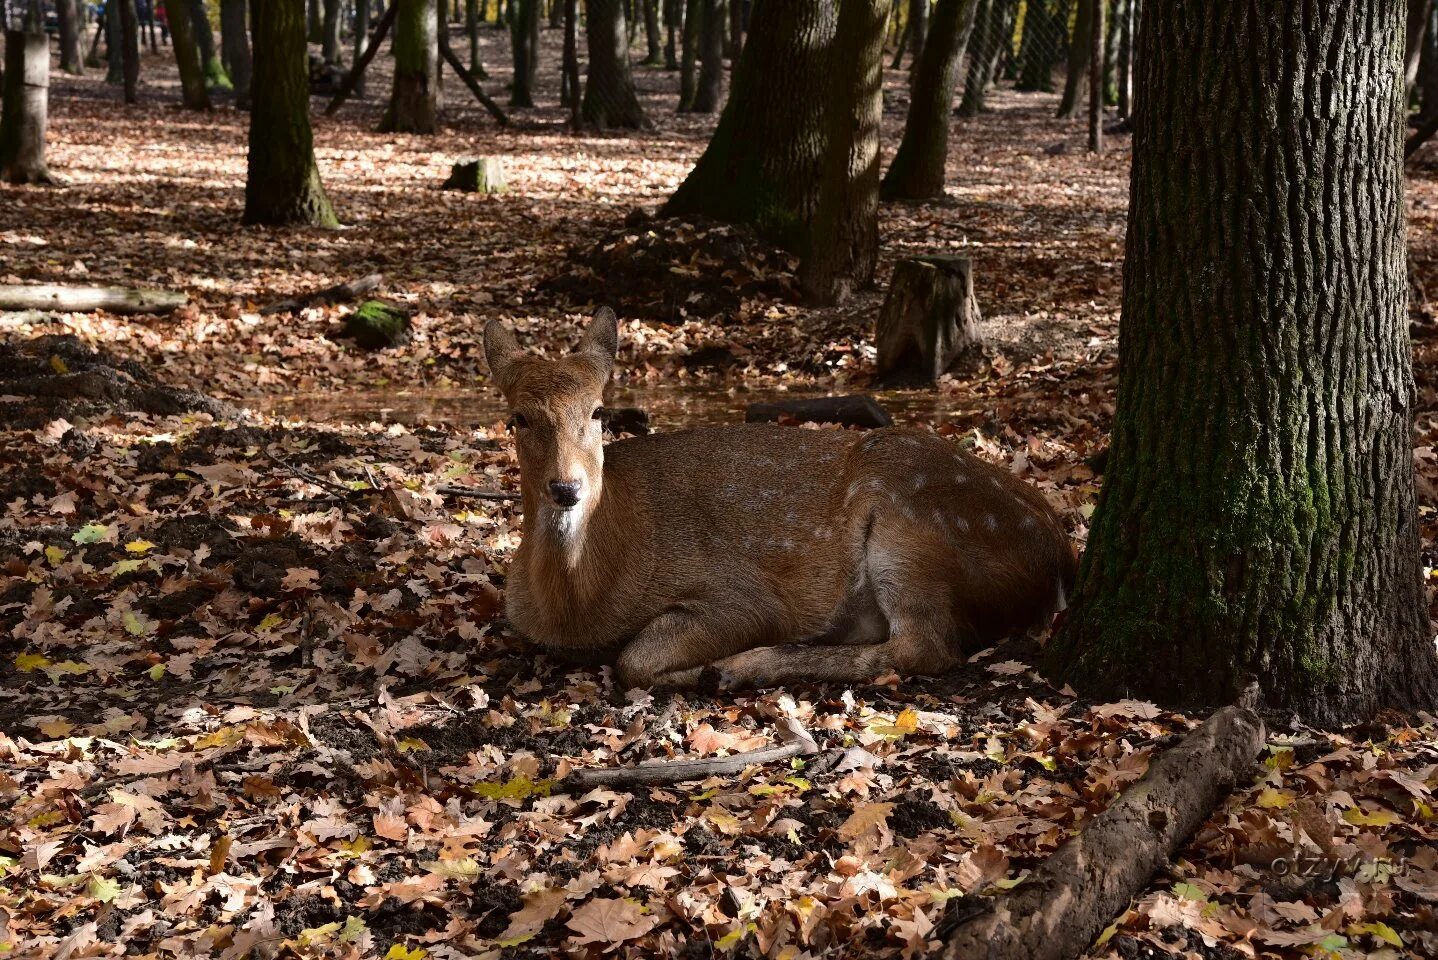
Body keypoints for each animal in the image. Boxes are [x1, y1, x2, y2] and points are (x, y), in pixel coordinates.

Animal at [486, 311, 1081, 692]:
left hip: (913, 526)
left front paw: (700, 671)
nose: (566, 488)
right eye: (518, 418)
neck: (578, 607)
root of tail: (1063, 555)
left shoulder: (738, 594)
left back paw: (738, 668)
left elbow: (634, 660)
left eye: (597, 412)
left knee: (926, 646)